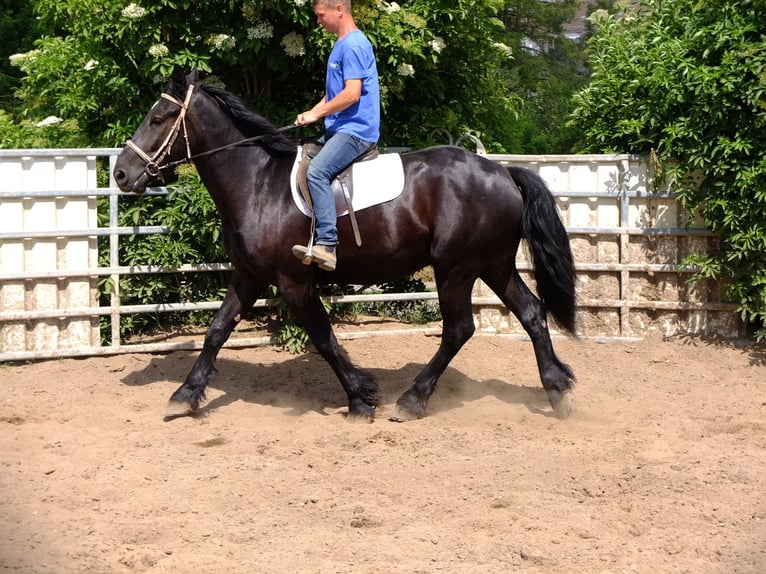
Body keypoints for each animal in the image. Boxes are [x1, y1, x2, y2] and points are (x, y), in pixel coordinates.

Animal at [114, 71, 580, 424]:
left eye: (160, 117)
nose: (120, 173)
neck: (258, 184)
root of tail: (502, 172)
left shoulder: (293, 282)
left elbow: (323, 339)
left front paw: (360, 398)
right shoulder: (248, 276)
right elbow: (216, 330)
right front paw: (185, 395)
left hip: (456, 269)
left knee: (459, 329)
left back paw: (413, 401)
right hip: (493, 265)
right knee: (532, 313)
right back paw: (558, 390)